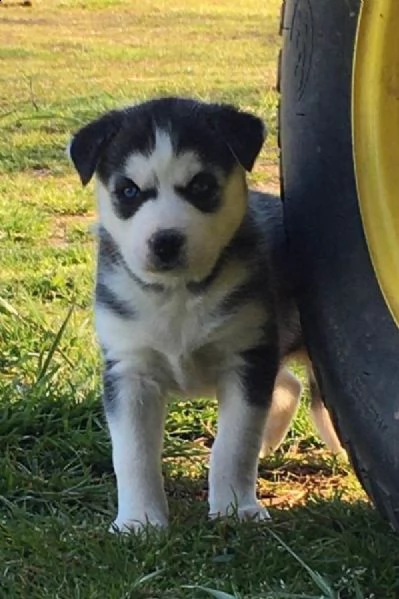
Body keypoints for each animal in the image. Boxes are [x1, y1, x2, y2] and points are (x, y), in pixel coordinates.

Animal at [69, 98, 344, 536]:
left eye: (200, 186)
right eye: (129, 191)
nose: (165, 241)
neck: (178, 295)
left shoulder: (244, 359)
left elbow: (234, 444)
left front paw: (235, 507)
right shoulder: (130, 369)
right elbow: (132, 453)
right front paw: (139, 520)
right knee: (287, 384)